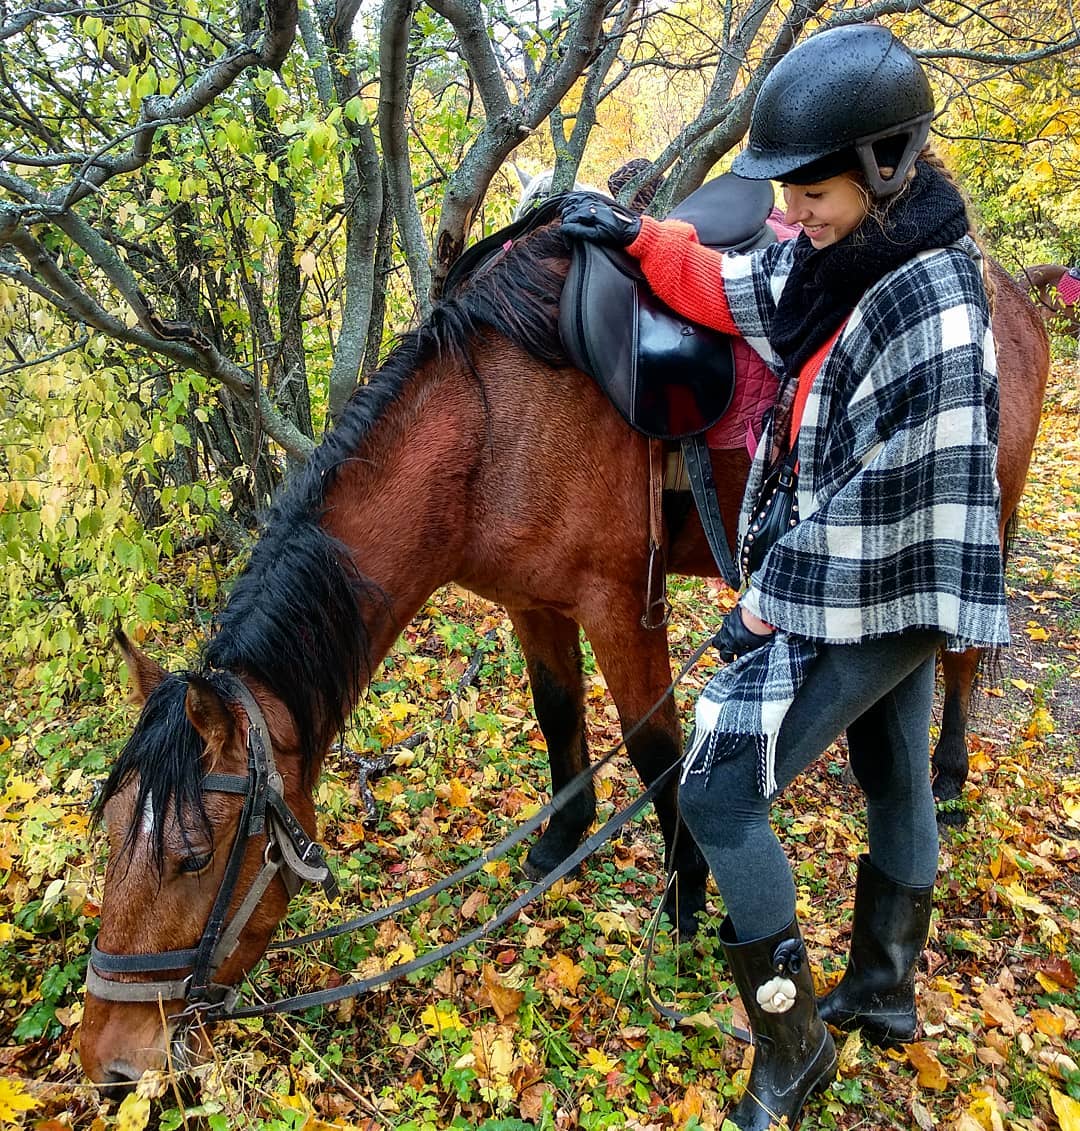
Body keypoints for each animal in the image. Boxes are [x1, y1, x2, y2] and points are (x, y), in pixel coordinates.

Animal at [82, 212, 1049, 1085]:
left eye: (193, 857)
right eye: (113, 840)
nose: (108, 1061)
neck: (489, 425)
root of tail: (1011, 288)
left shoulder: (623, 607)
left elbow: (660, 755)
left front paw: (684, 901)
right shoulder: (531, 601)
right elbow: (557, 716)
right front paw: (562, 838)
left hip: (977, 521)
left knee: (958, 659)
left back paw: (950, 775)